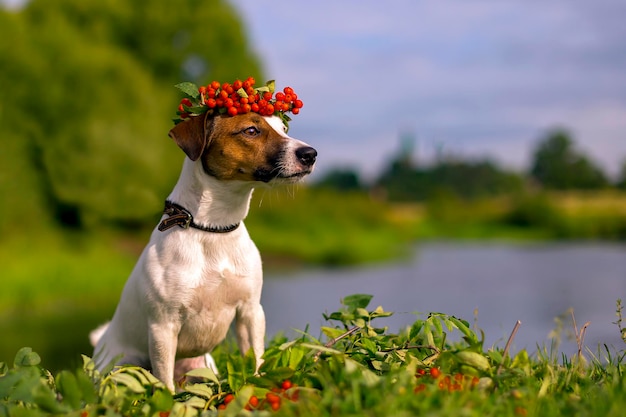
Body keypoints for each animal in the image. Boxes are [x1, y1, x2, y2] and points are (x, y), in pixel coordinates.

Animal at [91, 110, 316, 390]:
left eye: (283, 128)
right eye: (251, 130)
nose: (310, 154)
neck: (213, 228)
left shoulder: (250, 312)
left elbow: (255, 358)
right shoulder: (163, 326)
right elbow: (165, 383)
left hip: (204, 365)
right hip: (124, 364)